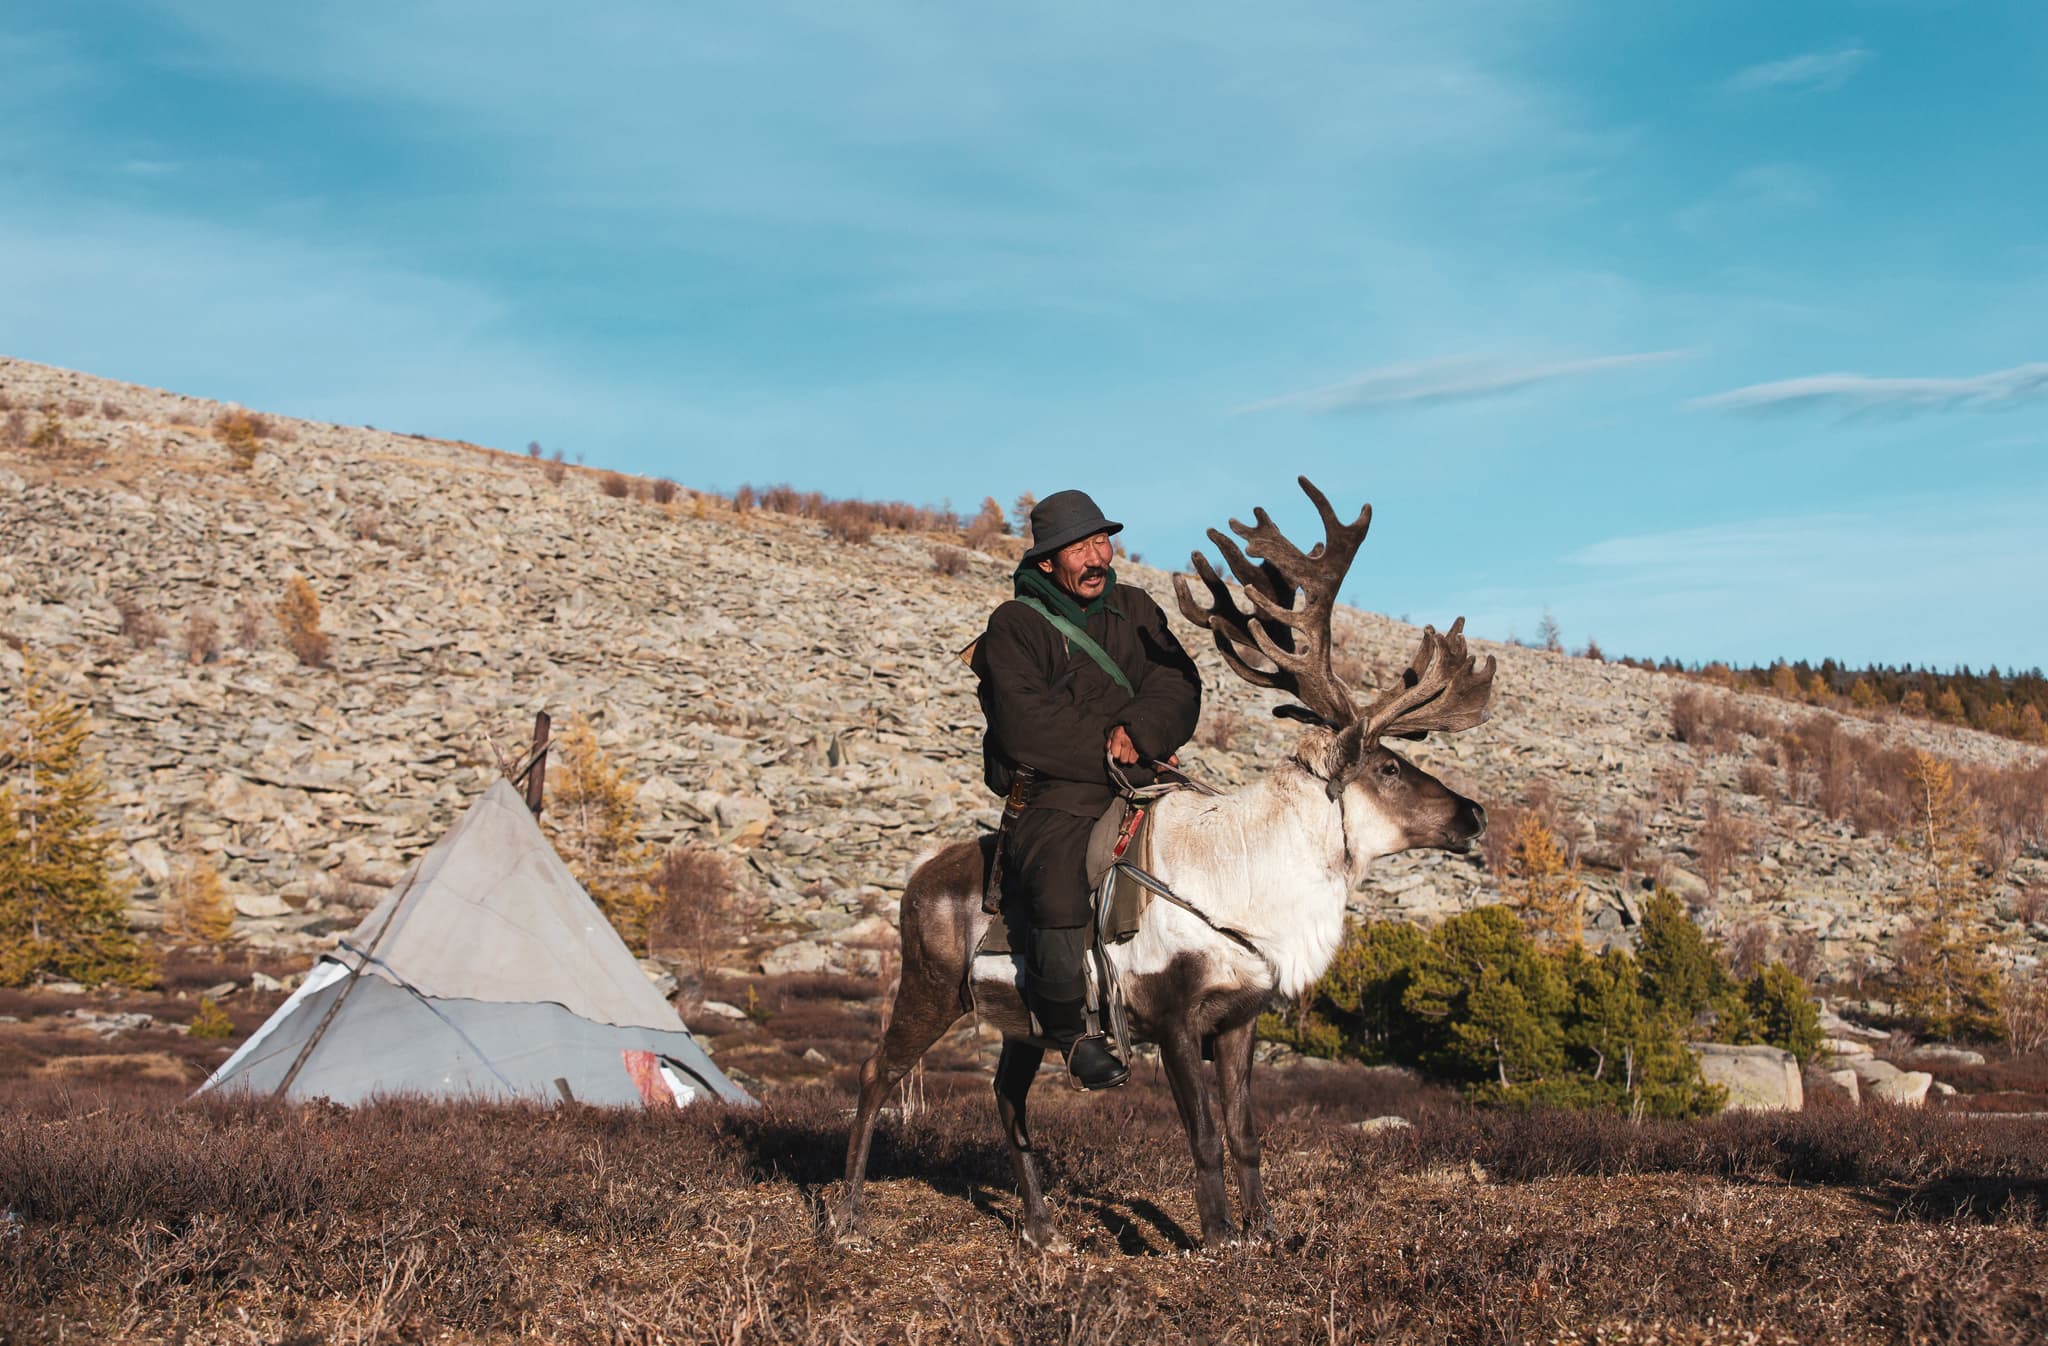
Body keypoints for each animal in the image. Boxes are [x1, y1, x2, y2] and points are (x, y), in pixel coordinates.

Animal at [837, 477, 1496, 1251]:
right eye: (1389, 768)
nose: (1474, 815)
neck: (1250, 882)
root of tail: (916, 876)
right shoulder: (1175, 1017)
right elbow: (1204, 1137)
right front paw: (1217, 1240)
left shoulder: (1239, 1020)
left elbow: (1246, 1136)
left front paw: (1267, 1233)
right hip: (933, 987)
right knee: (875, 1071)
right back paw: (846, 1219)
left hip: (1024, 1019)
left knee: (1007, 1096)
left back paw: (1042, 1229)